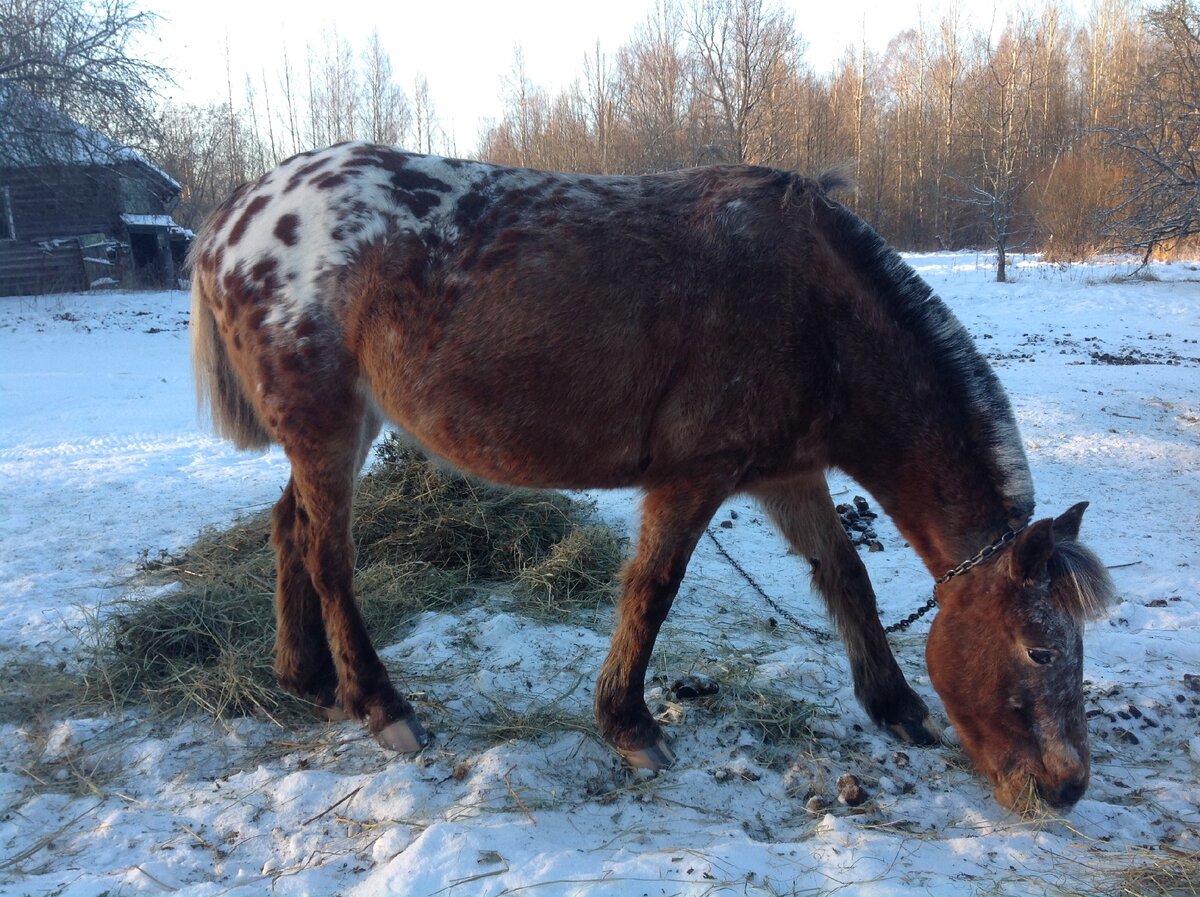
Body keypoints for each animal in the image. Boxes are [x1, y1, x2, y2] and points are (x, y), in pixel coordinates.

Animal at [189, 140, 1113, 810]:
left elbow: (845, 576)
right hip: (328, 426)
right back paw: (380, 705)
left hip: (339, 432)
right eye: (1039, 649)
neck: (816, 314)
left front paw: (893, 704)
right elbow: (653, 587)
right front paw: (629, 723)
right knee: (331, 557)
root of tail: (235, 216)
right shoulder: (696, 476)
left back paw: (307, 677)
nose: (1066, 788)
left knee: (290, 528)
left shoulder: (787, 474)